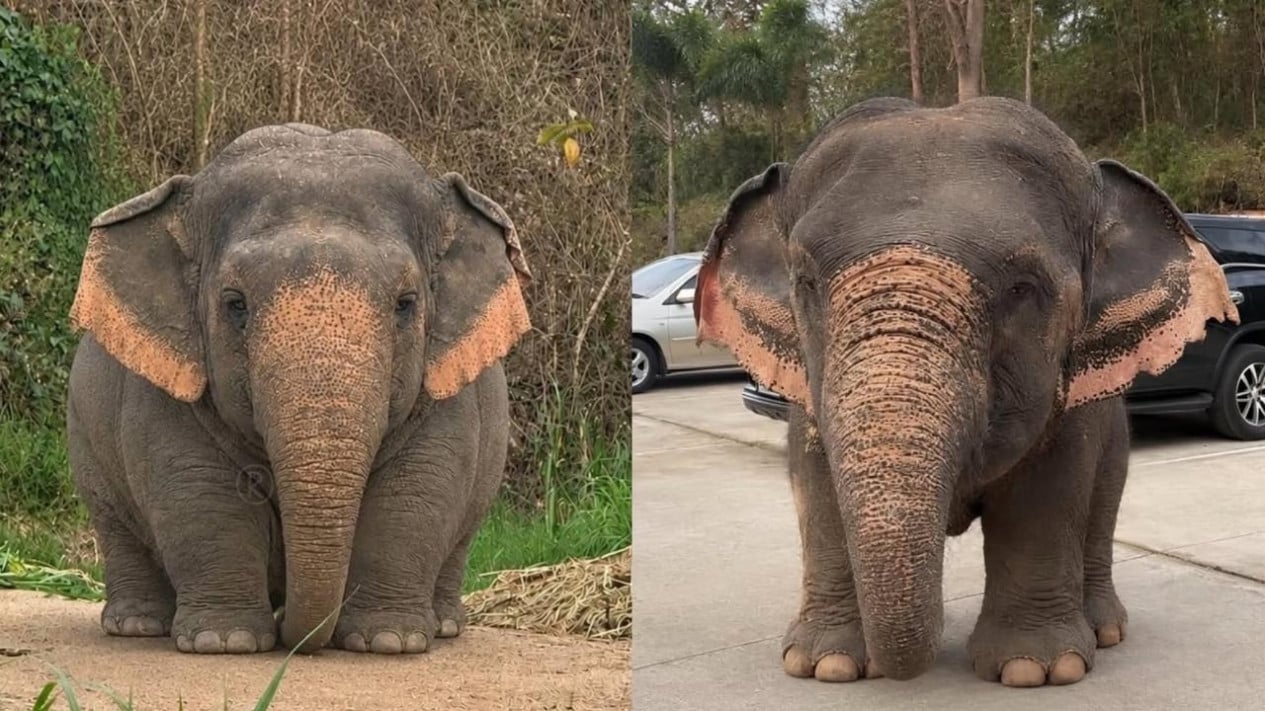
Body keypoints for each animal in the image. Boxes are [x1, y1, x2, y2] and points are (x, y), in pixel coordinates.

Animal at [65, 124, 531, 655]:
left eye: (406, 303)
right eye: (235, 304)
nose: (295, 631)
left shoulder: (445, 387)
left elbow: (416, 488)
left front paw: (389, 641)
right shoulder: (165, 386)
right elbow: (199, 489)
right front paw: (224, 641)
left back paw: (446, 626)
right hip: (85, 440)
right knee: (115, 523)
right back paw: (137, 625)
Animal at [694, 97, 1238, 687]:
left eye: (1024, 288)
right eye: (806, 283)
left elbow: (1046, 489)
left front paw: (1035, 669)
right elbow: (815, 484)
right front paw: (827, 665)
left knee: (1102, 504)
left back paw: (1103, 631)